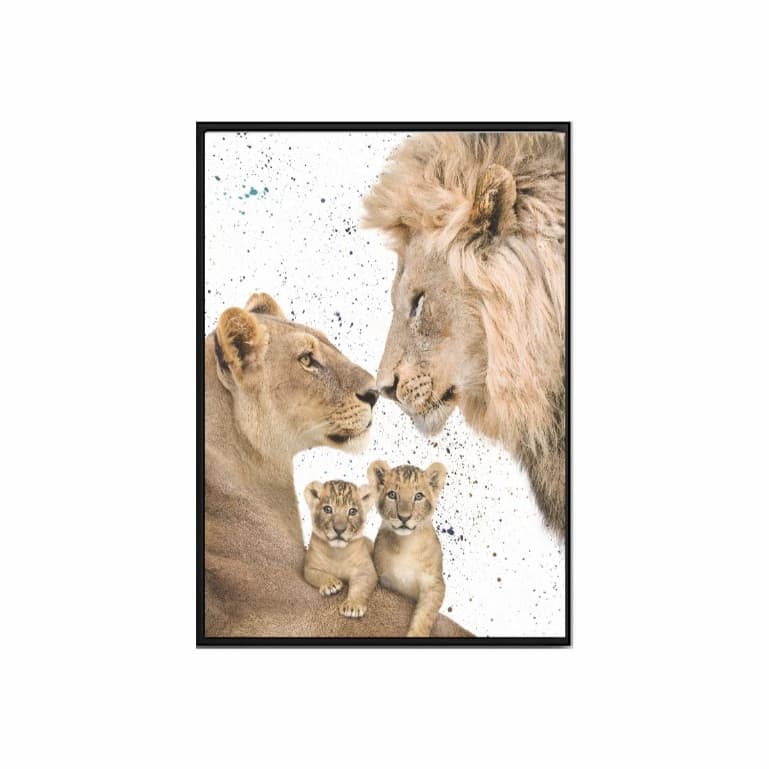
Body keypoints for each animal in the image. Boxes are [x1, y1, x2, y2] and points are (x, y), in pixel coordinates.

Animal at [303, 480, 377, 618]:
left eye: (352, 511)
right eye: (328, 509)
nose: (339, 529)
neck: (337, 553)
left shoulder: (366, 570)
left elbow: (360, 587)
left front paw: (353, 606)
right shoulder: (310, 567)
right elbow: (319, 575)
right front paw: (331, 584)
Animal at [368, 460, 448, 637]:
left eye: (418, 496)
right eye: (392, 495)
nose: (404, 517)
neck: (406, 544)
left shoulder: (434, 584)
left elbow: (425, 615)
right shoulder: (385, 581)